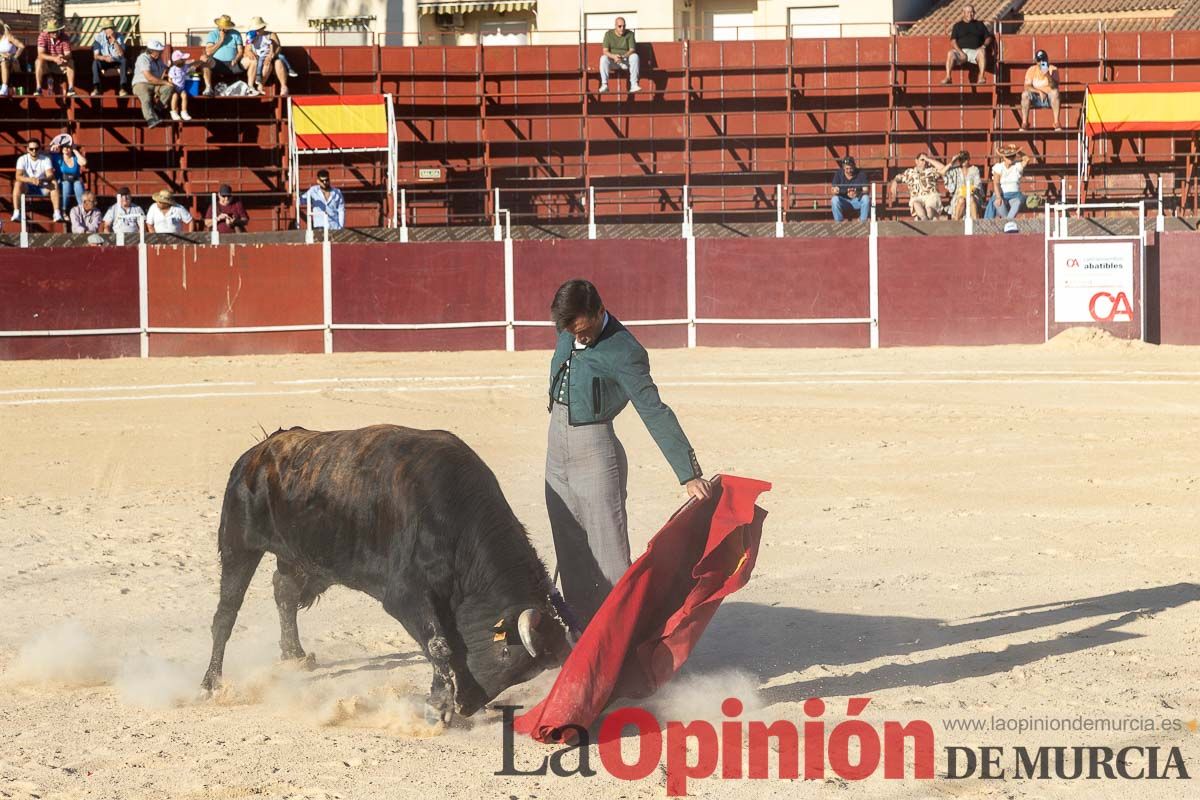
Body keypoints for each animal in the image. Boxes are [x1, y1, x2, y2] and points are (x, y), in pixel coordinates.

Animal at [199, 424, 568, 719]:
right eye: (505, 654)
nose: (468, 706)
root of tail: (257, 453)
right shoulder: (405, 597)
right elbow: (439, 644)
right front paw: (440, 705)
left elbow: (449, 645)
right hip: (238, 545)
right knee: (226, 614)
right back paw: (211, 683)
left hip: (297, 557)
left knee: (284, 592)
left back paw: (296, 656)